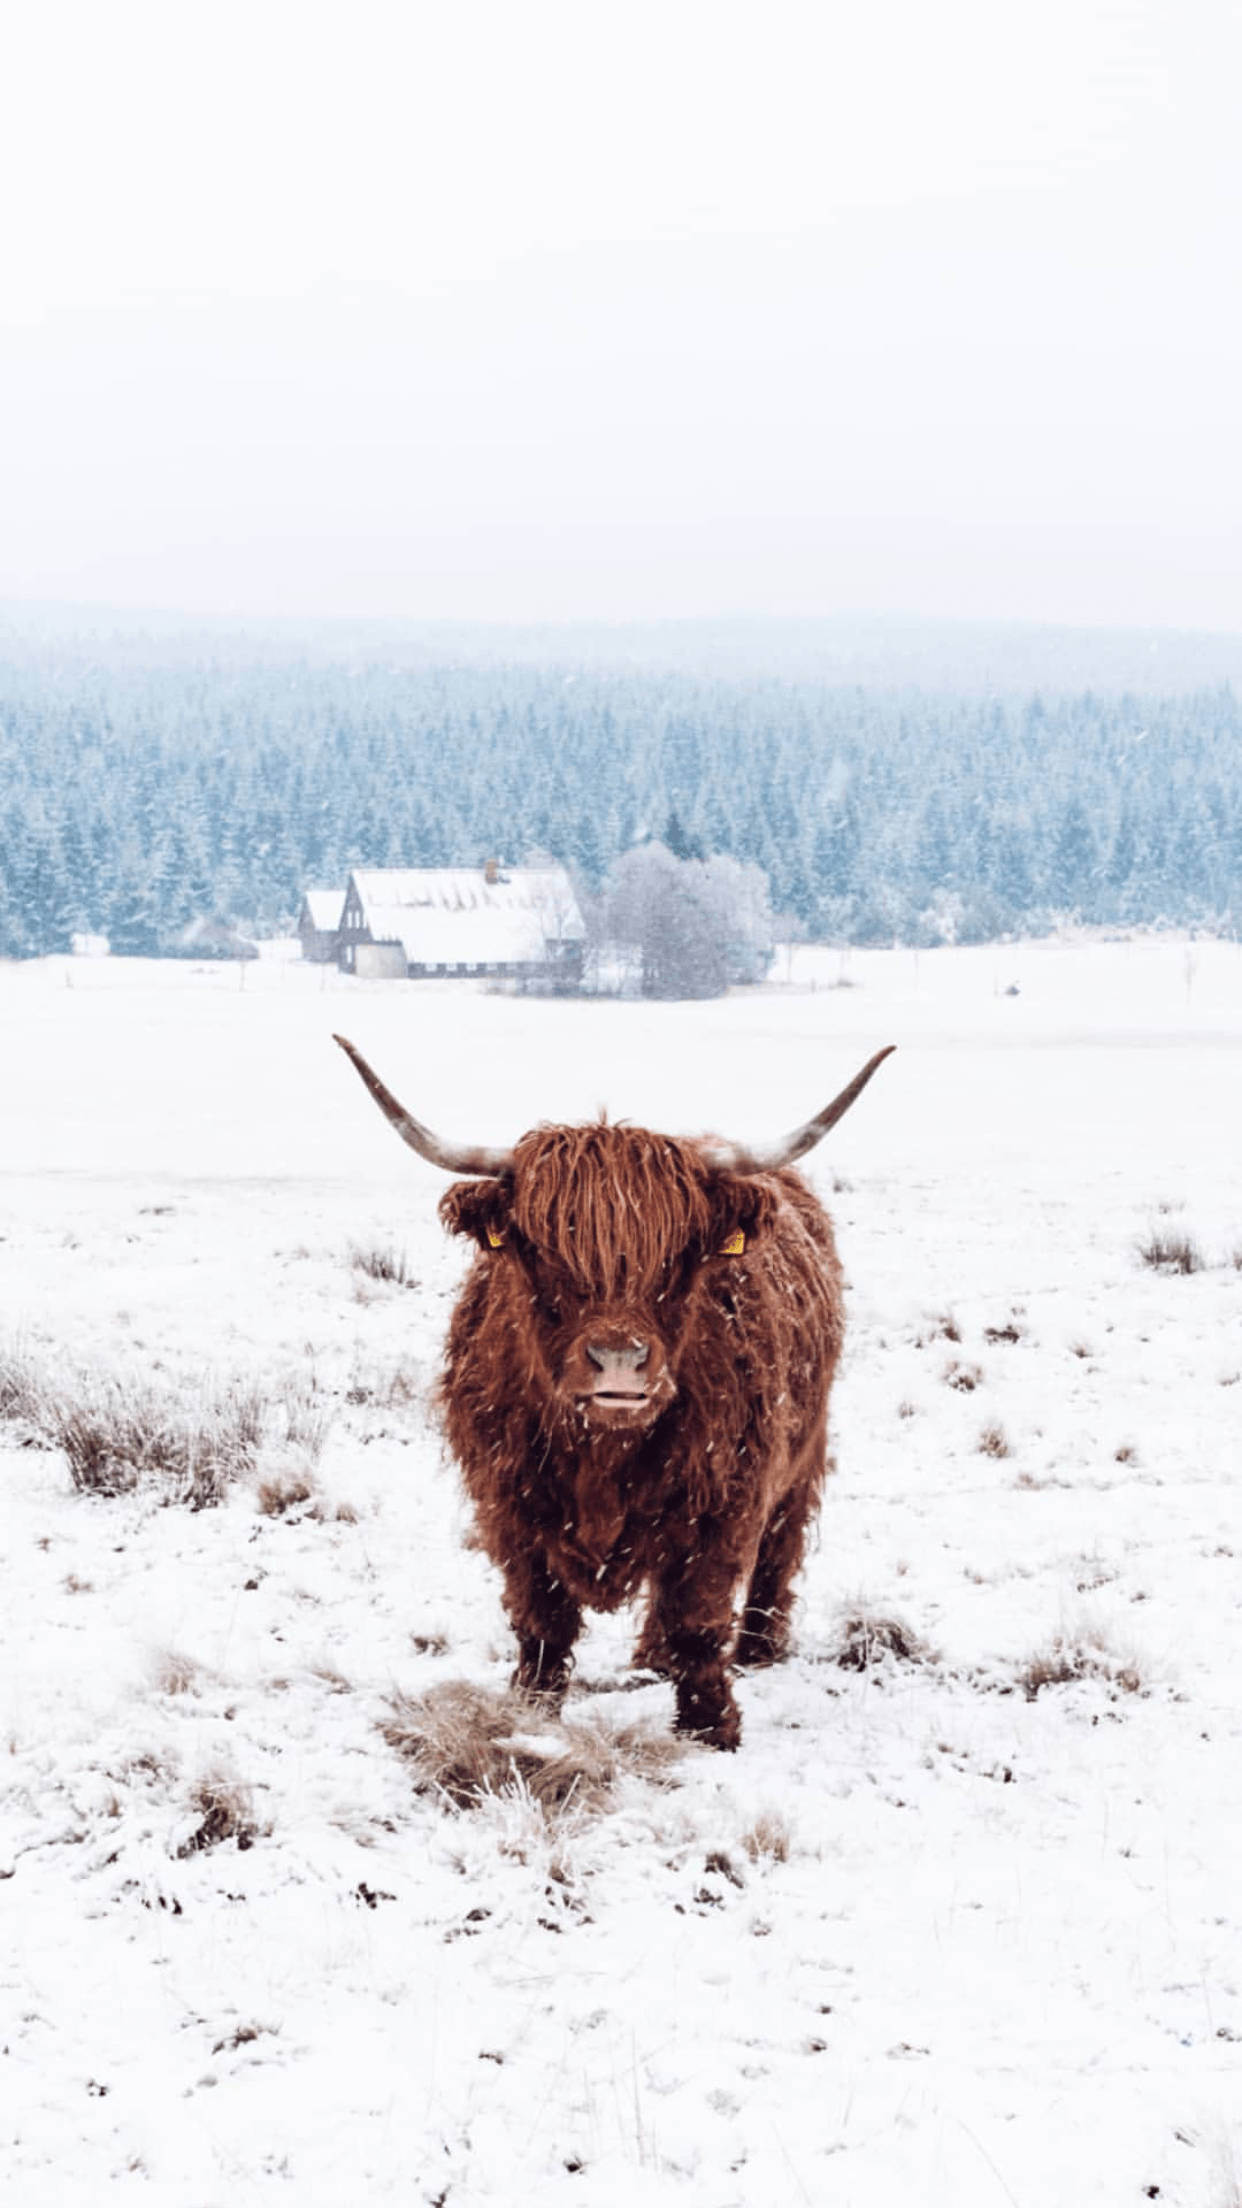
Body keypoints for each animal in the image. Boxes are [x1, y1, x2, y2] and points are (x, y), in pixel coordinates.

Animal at [335, 1035, 894, 1750]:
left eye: (681, 1258)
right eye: (544, 1253)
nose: (621, 1362)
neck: (601, 1453)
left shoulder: (725, 1497)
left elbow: (698, 1615)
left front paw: (710, 1727)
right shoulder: (508, 1502)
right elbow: (542, 1621)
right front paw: (530, 1714)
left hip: (805, 1446)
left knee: (780, 1545)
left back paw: (758, 1647)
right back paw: (651, 1658)